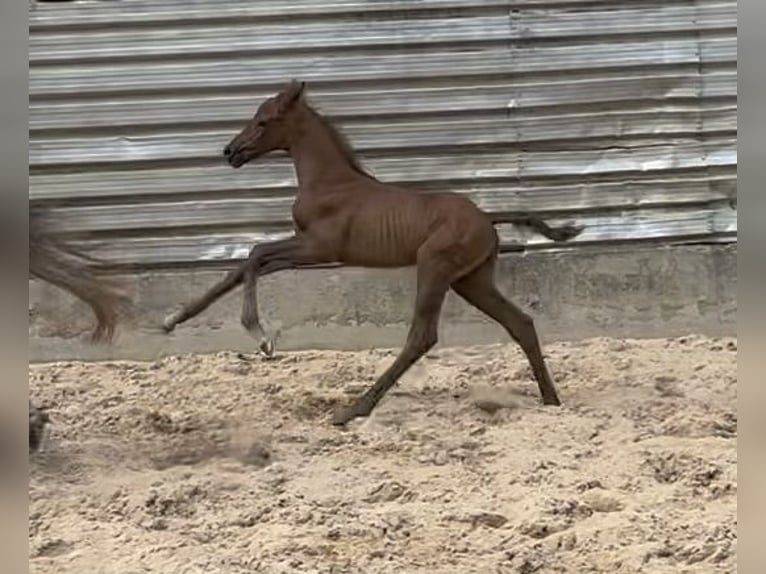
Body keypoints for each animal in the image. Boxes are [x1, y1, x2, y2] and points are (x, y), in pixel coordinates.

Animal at [162, 80, 584, 428]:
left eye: (263, 121)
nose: (230, 151)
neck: (329, 182)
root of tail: (487, 218)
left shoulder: (320, 247)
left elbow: (255, 254)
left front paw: (261, 336)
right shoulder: (308, 248)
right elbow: (250, 263)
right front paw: (172, 320)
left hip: (434, 268)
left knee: (422, 336)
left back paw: (353, 409)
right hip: (471, 280)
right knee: (520, 323)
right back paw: (551, 400)